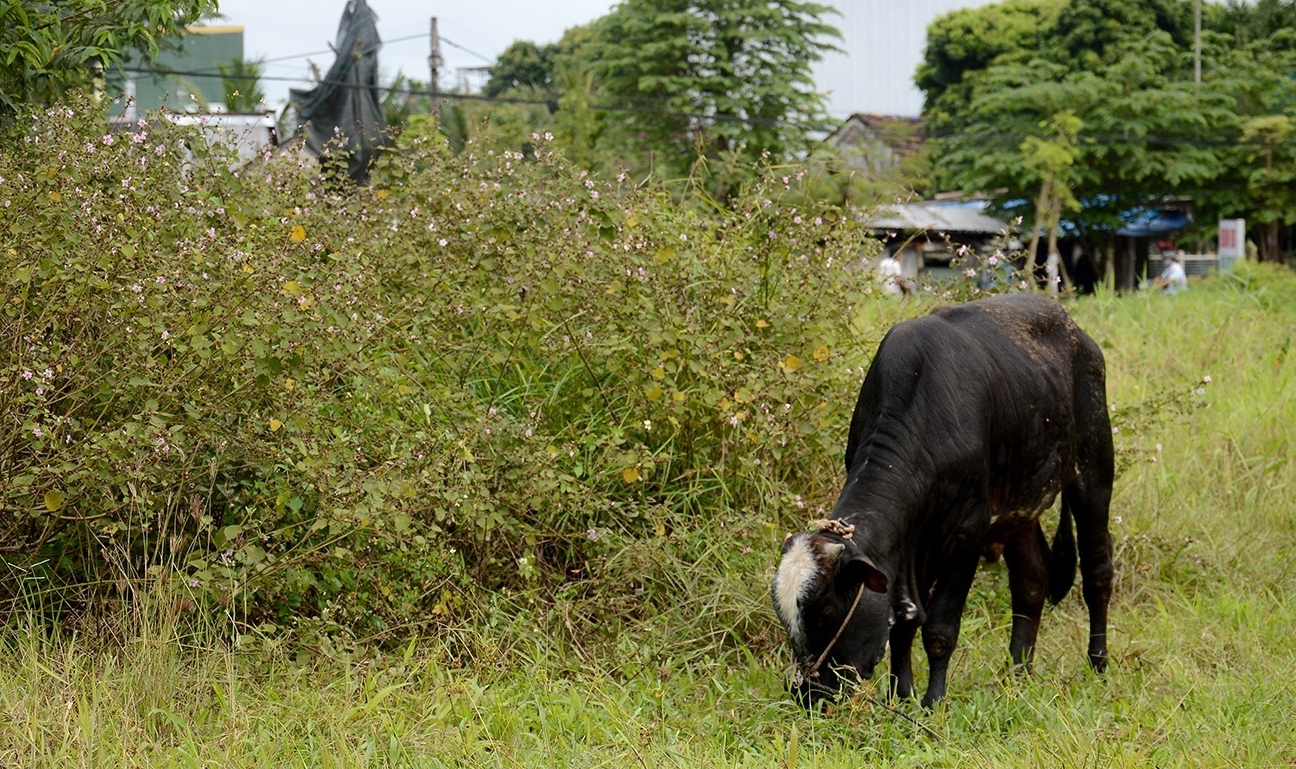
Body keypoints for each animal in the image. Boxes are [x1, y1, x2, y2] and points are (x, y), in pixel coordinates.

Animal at [767, 294, 1114, 705]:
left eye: (825, 612)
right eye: (786, 618)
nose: (808, 693)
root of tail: (1078, 333)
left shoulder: (967, 531)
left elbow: (939, 628)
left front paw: (934, 701)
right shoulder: (911, 543)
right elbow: (904, 622)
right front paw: (901, 694)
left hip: (1093, 471)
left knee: (1097, 573)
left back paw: (1098, 664)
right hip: (1020, 506)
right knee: (1030, 580)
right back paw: (1018, 674)